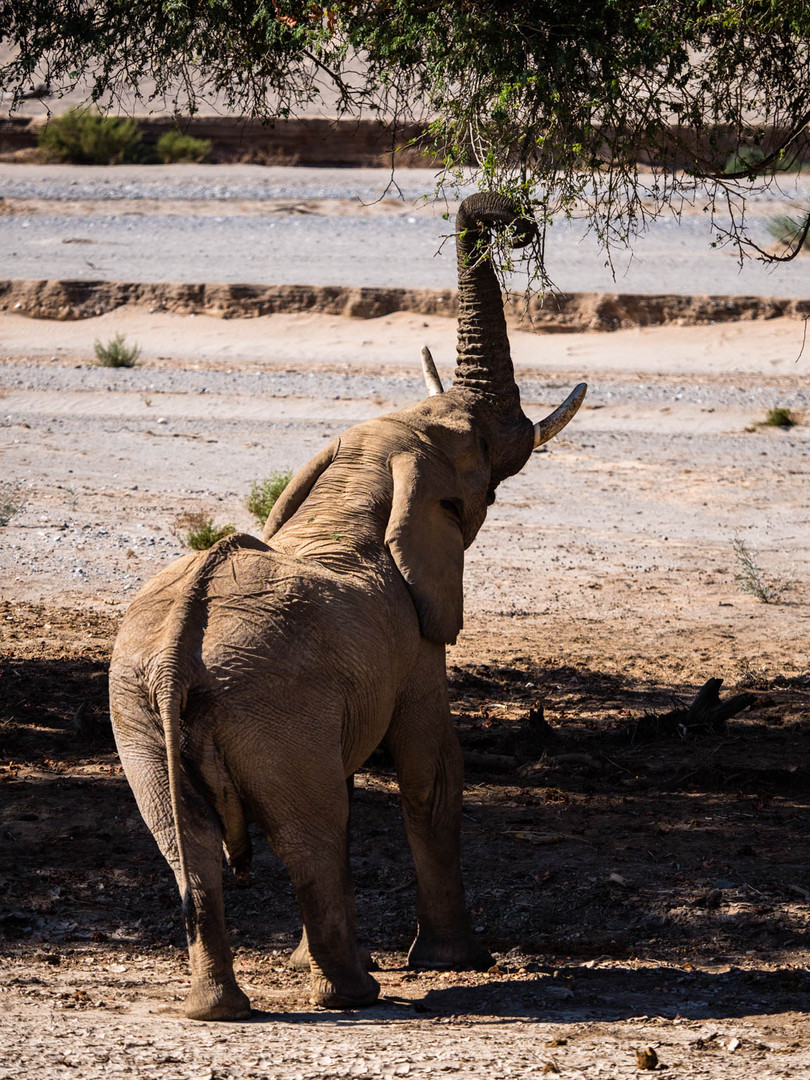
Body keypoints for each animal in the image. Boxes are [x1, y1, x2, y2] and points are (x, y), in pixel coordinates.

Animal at [109, 194, 591, 1019]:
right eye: (477, 468)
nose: (515, 219)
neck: (354, 487)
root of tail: (176, 651)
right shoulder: (417, 643)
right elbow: (433, 771)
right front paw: (461, 961)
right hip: (267, 703)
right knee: (308, 832)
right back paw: (351, 994)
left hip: (140, 711)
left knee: (185, 845)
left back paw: (219, 1009)